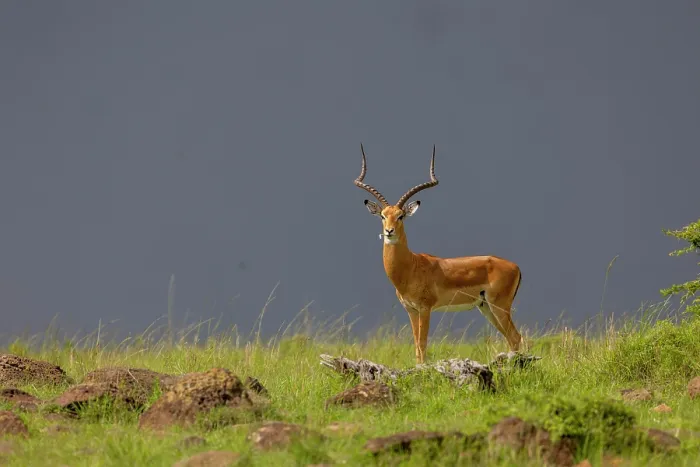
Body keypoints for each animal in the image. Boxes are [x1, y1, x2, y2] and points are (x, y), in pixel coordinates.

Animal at [354, 144, 524, 364]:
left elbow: (423, 345)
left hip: (499, 306)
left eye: (401, 216)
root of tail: (516, 267)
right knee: (511, 339)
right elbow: (416, 346)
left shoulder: (425, 309)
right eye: (383, 216)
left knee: (516, 337)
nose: (389, 231)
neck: (411, 267)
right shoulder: (411, 310)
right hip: (486, 307)